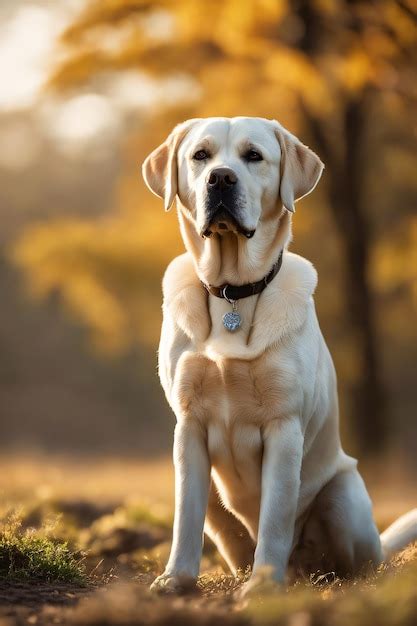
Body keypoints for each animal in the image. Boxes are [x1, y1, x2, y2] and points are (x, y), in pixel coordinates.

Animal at [142, 116, 412, 596]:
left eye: (253, 156)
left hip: (343, 496)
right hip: (217, 504)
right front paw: (176, 578)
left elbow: (275, 517)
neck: (233, 292)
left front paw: (263, 587)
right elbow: (184, 516)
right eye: (200, 156)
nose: (220, 179)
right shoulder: (188, 426)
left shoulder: (284, 427)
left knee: (354, 561)